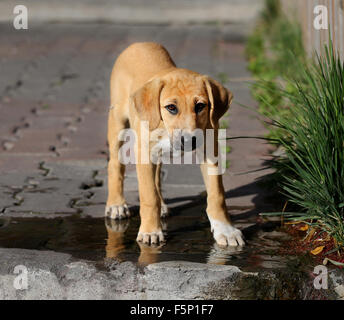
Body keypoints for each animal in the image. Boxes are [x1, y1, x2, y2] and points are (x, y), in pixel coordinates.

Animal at [106, 42, 243, 248]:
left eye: (200, 106)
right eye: (171, 107)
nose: (189, 140)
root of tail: (140, 43)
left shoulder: (209, 150)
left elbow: (217, 194)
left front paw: (225, 230)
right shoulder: (143, 153)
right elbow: (148, 196)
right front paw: (150, 231)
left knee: (156, 176)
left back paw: (162, 205)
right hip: (117, 121)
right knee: (115, 164)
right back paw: (116, 204)